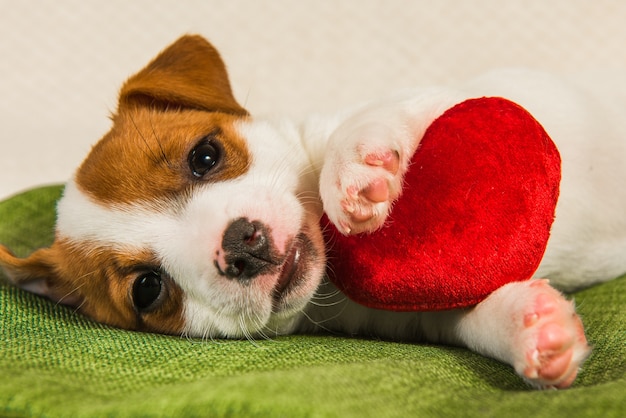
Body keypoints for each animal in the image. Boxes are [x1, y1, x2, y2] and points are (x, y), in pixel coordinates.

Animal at [2, 35, 620, 388]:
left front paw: (351, 171)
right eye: (148, 290)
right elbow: (472, 319)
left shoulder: (459, 98)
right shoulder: (417, 314)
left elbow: (373, 114)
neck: (333, 282)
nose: (240, 245)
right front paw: (529, 330)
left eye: (205, 156)